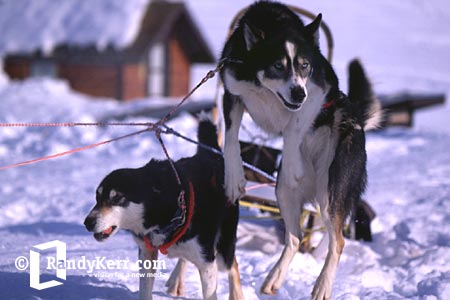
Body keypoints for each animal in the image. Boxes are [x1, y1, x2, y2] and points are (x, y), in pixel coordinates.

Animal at [82, 119, 244, 300]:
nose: (88, 222)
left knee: (233, 265)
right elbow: (145, 290)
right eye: (97, 197)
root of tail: (211, 155)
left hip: (223, 252)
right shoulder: (147, 253)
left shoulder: (207, 263)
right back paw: (176, 281)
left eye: (116, 198)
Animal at [220, 1, 382, 298]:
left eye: (304, 66)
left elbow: (293, 127)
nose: (297, 92)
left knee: (337, 241)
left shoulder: (318, 89)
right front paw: (234, 175)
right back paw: (273, 278)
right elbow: (231, 137)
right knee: (294, 238)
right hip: (283, 192)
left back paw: (322, 286)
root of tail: (356, 116)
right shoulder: (233, 93)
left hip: (331, 194)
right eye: (277, 65)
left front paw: (294, 161)